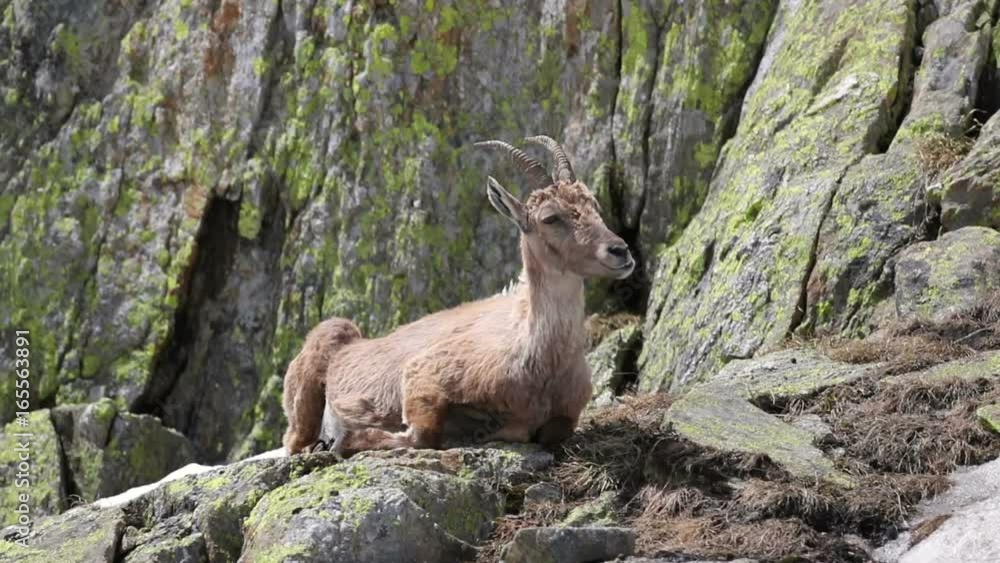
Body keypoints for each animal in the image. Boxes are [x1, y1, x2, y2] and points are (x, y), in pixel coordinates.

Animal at [282, 136, 635, 456]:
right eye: (550, 217)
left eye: (594, 205)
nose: (620, 251)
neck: (542, 360)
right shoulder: (422, 374)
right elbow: (422, 434)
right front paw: (347, 440)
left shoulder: (564, 414)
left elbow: (550, 431)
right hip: (313, 378)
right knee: (294, 441)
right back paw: (321, 443)